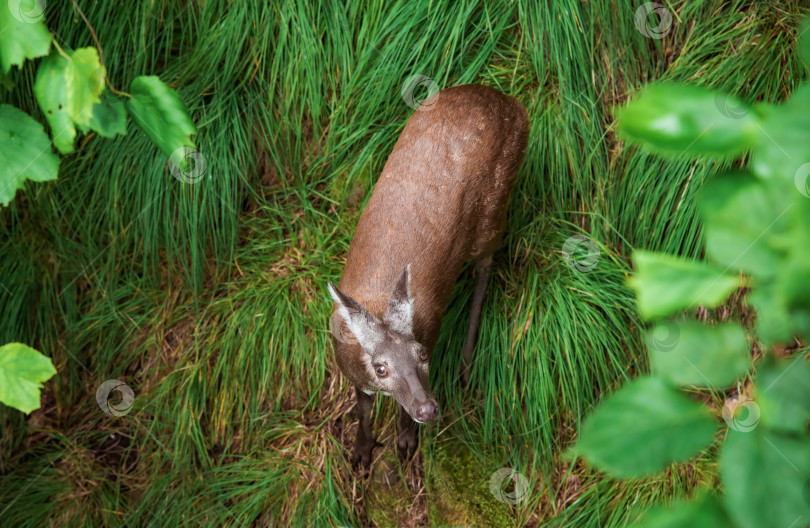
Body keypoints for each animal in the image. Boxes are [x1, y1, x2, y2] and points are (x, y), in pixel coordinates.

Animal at [326, 82, 528, 466]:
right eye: (380, 368)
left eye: (422, 354)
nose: (428, 409)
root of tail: (510, 102)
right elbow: (363, 406)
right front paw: (361, 451)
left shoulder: (432, 327)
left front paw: (406, 441)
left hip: (497, 197)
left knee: (486, 262)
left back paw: (466, 362)